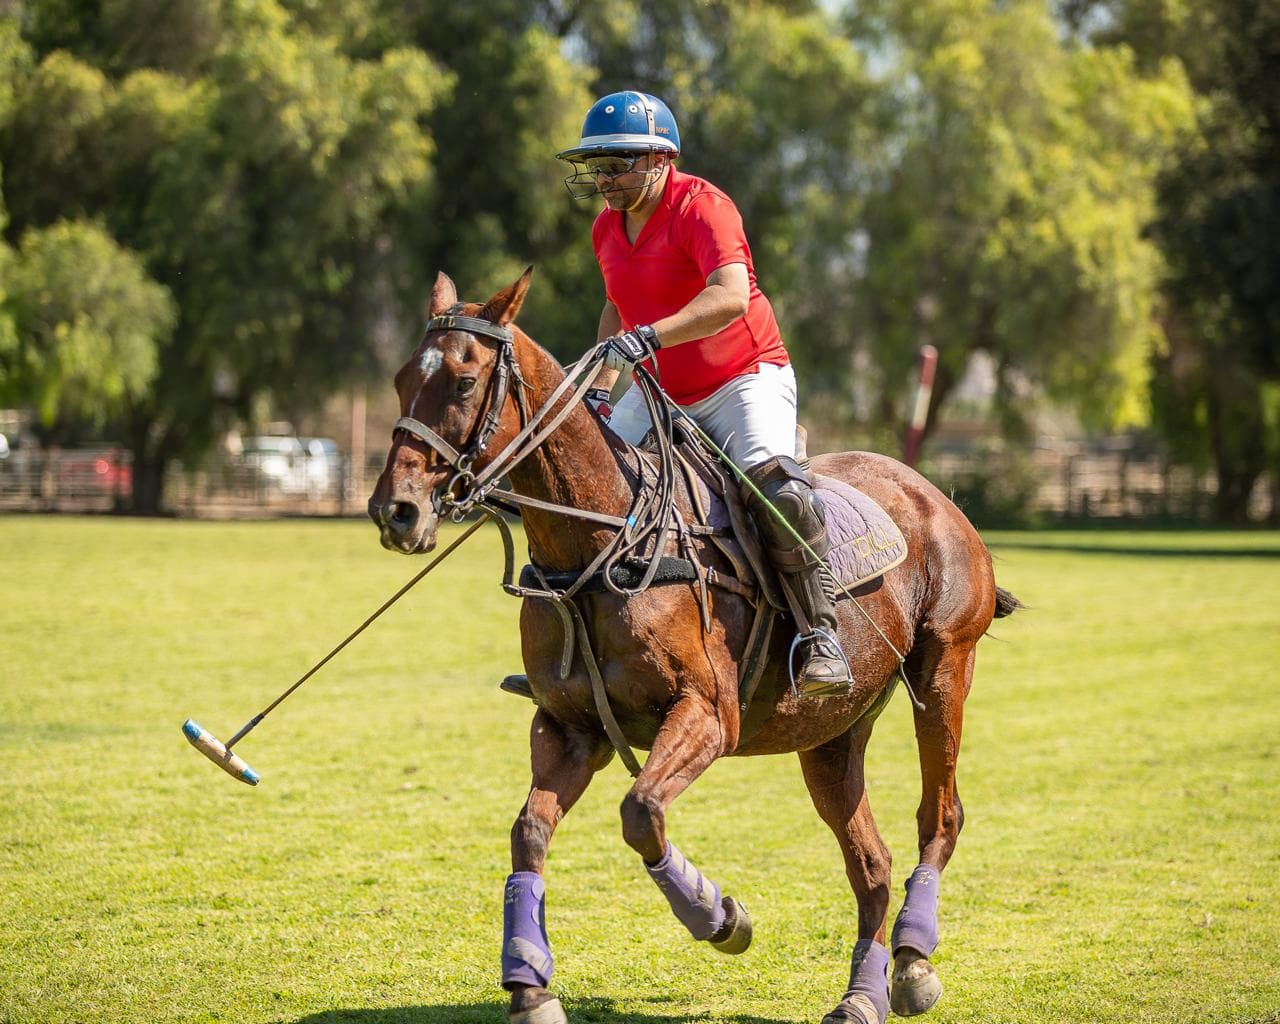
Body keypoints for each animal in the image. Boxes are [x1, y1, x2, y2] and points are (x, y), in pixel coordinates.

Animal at [368, 269, 1019, 1024]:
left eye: (466, 382)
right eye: (399, 378)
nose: (396, 511)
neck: (598, 542)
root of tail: (935, 498)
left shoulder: (707, 713)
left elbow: (641, 812)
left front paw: (721, 918)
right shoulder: (568, 726)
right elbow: (529, 831)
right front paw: (530, 988)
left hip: (944, 669)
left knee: (940, 815)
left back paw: (913, 963)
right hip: (832, 731)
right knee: (871, 862)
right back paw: (862, 994)